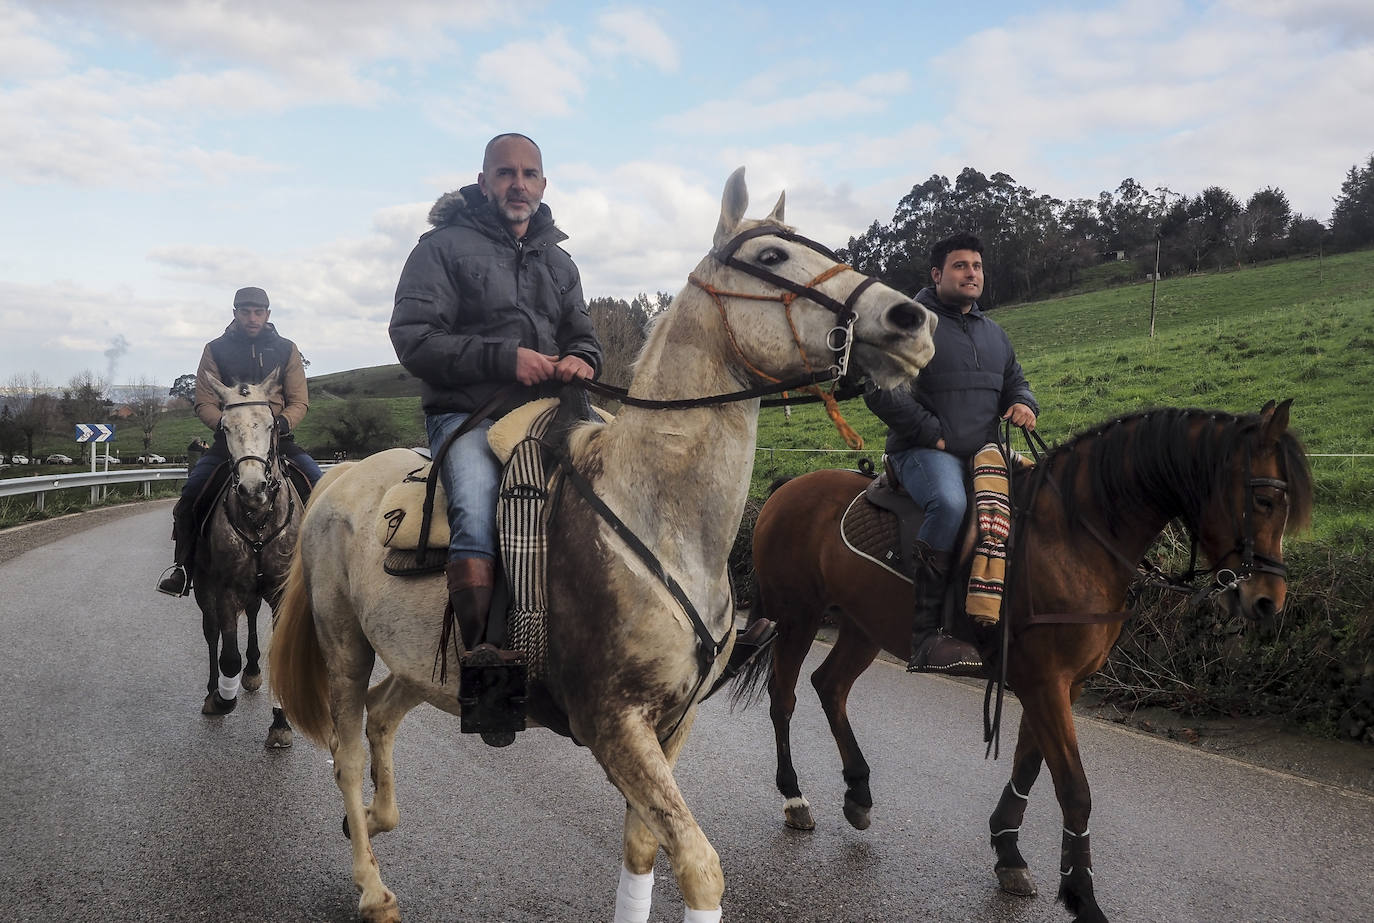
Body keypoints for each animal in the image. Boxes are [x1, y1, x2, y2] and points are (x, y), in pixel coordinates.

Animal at [267, 167, 934, 923]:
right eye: (770, 256)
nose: (913, 321)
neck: (662, 521)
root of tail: (341, 475)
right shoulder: (613, 723)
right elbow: (699, 865)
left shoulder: (669, 727)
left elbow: (643, 852)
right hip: (343, 642)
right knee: (348, 751)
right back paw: (372, 884)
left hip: (421, 663)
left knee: (382, 719)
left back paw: (377, 821)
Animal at [736, 401, 1313, 923]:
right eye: (1264, 499)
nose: (1269, 601)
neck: (1073, 539)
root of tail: (786, 489)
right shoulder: (1045, 683)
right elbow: (1074, 789)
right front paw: (1081, 896)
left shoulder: (1061, 684)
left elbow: (1029, 766)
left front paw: (1009, 852)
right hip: (798, 616)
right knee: (784, 696)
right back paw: (794, 797)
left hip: (862, 627)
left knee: (829, 686)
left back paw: (858, 791)